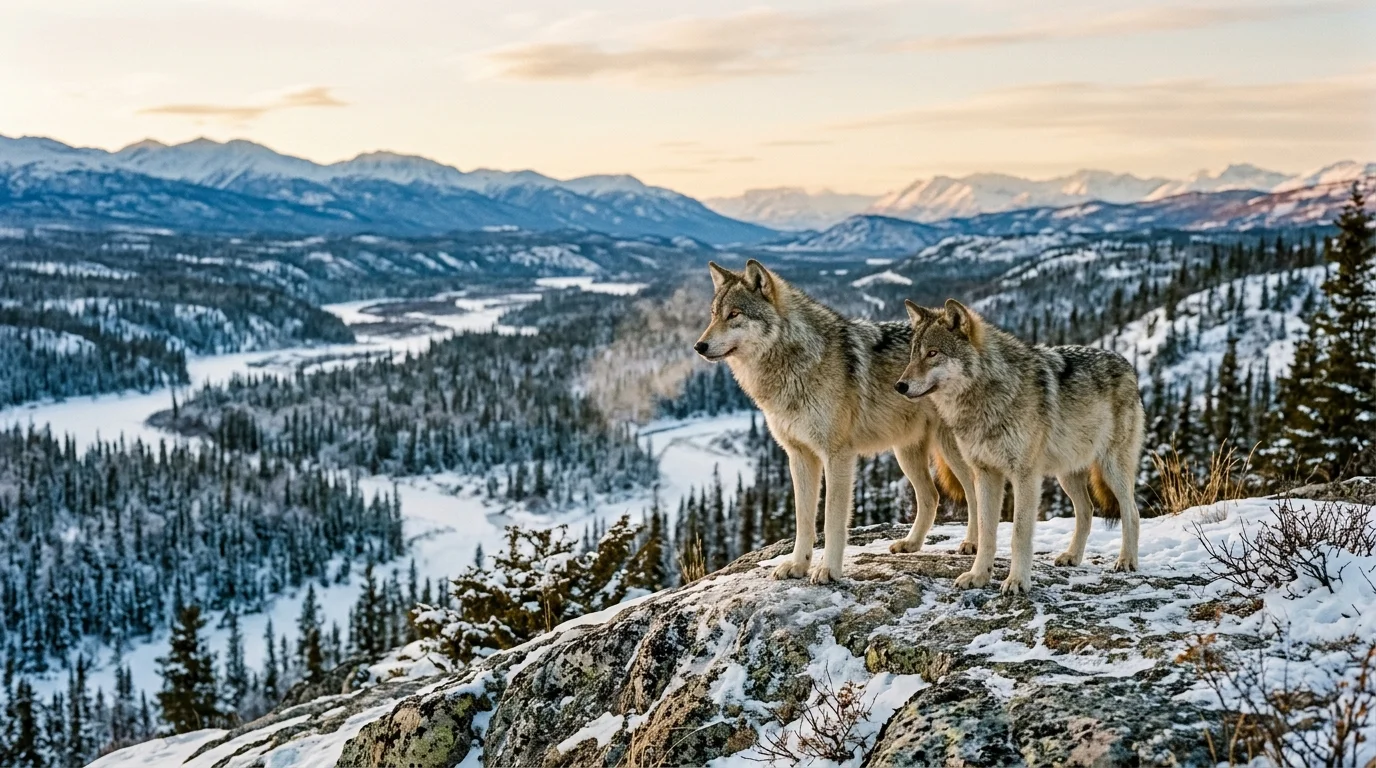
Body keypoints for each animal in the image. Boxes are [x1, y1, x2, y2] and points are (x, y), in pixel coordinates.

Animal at [694, 260, 978, 584]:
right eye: (714, 314)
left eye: (734, 314)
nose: (699, 346)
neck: (793, 365)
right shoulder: (799, 456)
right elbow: (803, 519)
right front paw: (798, 565)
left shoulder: (837, 455)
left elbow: (831, 520)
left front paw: (828, 569)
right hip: (905, 453)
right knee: (931, 496)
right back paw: (911, 544)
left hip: (953, 451)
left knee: (975, 490)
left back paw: (972, 544)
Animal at [895, 299, 1145, 595]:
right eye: (912, 355)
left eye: (932, 353)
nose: (899, 386)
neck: (988, 394)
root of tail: (1126, 363)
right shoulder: (986, 474)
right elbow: (986, 531)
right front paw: (978, 576)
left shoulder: (1025, 476)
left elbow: (1019, 533)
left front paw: (1016, 581)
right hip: (1067, 474)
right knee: (1087, 511)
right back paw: (1072, 556)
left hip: (1111, 468)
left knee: (1131, 511)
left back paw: (1127, 560)